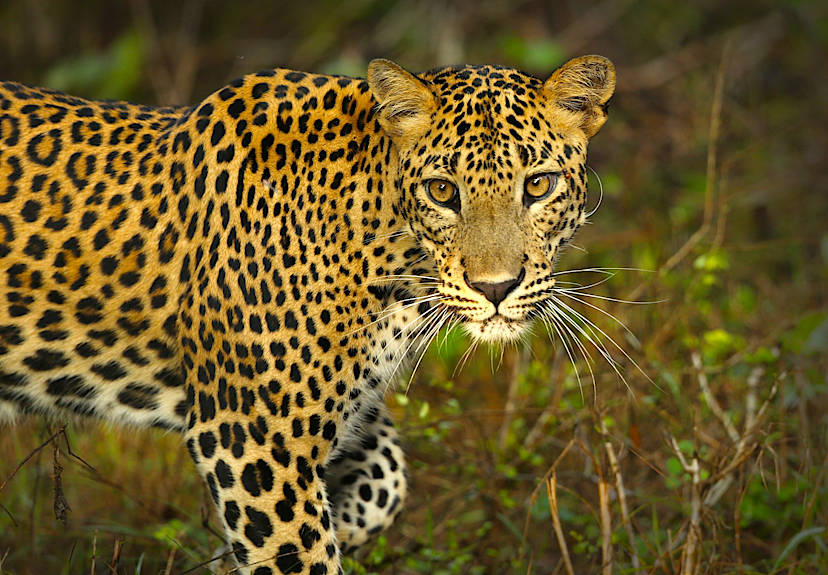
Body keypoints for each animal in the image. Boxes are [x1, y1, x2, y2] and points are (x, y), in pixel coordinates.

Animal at [0, 55, 615, 574]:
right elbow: (300, 552)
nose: (496, 288)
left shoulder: (341, 413)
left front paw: (226, 559)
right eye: (442, 191)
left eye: (539, 185)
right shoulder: (251, 434)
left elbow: (387, 481)